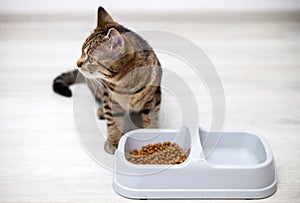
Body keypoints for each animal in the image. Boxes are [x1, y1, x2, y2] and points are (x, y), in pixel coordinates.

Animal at [52, 6, 163, 154]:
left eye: (91, 59)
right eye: (81, 51)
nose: (78, 63)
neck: (126, 84)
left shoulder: (153, 97)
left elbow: (151, 119)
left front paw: (152, 136)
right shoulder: (110, 99)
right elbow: (113, 122)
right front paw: (113, 141)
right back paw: (101, 111)